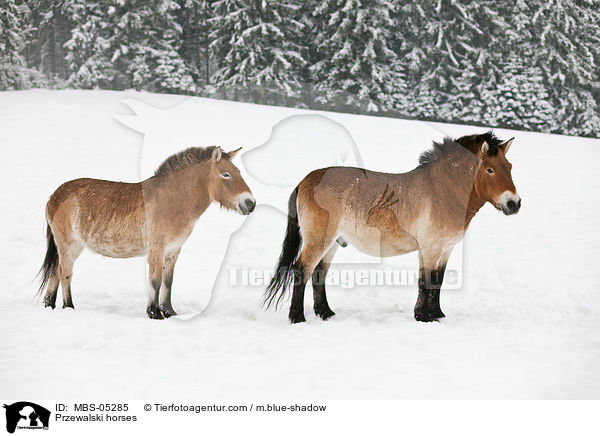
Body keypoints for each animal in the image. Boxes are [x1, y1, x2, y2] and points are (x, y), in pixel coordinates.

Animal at [37, 145, 253, 318]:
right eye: (226, 174)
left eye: (238, 171)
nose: (250, 203)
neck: (173, 201)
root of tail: (54, 196)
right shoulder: (157, 249)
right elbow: (155, 281)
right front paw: (154, 313)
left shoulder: (173, 251)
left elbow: (168, 281)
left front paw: (169, 312)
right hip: (68, 245)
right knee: (65, 273)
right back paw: (69, 307)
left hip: (71, 247)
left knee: (55, 272)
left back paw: (50, 305)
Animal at [264, 133, 520, 324]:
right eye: (489, 169)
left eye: (509, 167)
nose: (514, 204)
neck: (442, 191)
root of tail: (305, 180)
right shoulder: (430, 249)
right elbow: (425, 282)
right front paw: (423, 317)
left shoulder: (445, 249)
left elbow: (437, 282)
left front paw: (437, 315)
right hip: (319, 240)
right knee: (302, 270)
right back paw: (298, 318)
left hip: (332, 242)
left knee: (319, 273)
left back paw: (326, 313)